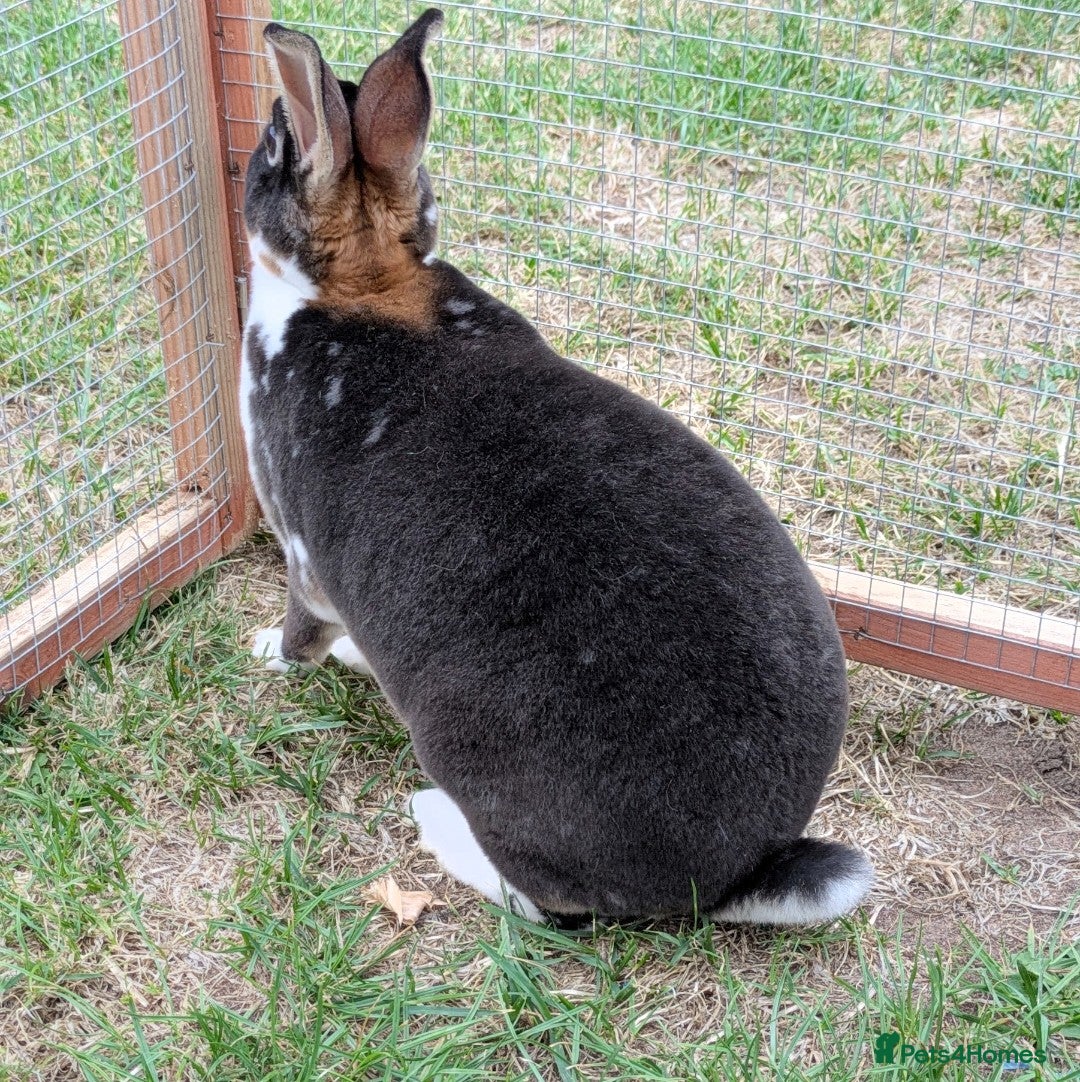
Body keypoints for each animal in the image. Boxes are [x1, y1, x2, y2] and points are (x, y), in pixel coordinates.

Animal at [240, 8, 873, 925]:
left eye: (268, 149)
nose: (249, 151)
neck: (360, 283)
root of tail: (734, 871)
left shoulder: (299, 550)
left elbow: (303, 627)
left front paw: (267, 652)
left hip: (472, 754)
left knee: (543, 903)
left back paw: (434, 821)